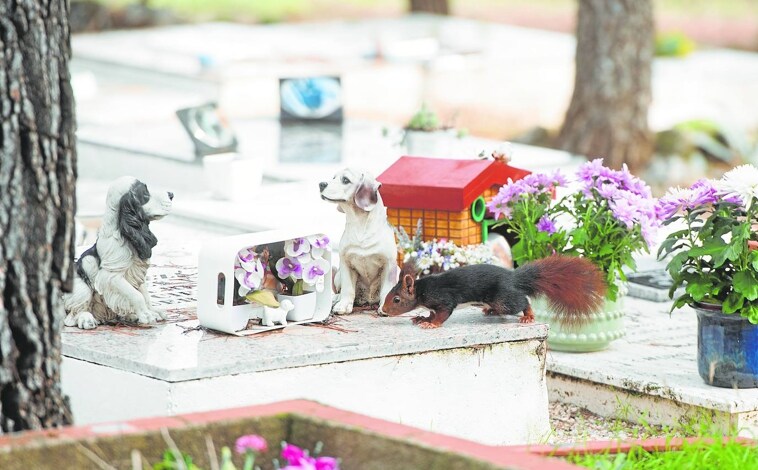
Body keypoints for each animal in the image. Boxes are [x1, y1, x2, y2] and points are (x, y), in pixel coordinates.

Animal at [382, 255, 608, 328]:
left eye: (396, 299)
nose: (383, 311)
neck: (422, 290)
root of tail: (513, 278)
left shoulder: (444, 298)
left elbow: (443, 312)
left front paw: (432, 324)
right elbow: (431, 312)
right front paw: (422, 318)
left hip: (503, 298)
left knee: (522, 301)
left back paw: (528, 316)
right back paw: (490, 311)